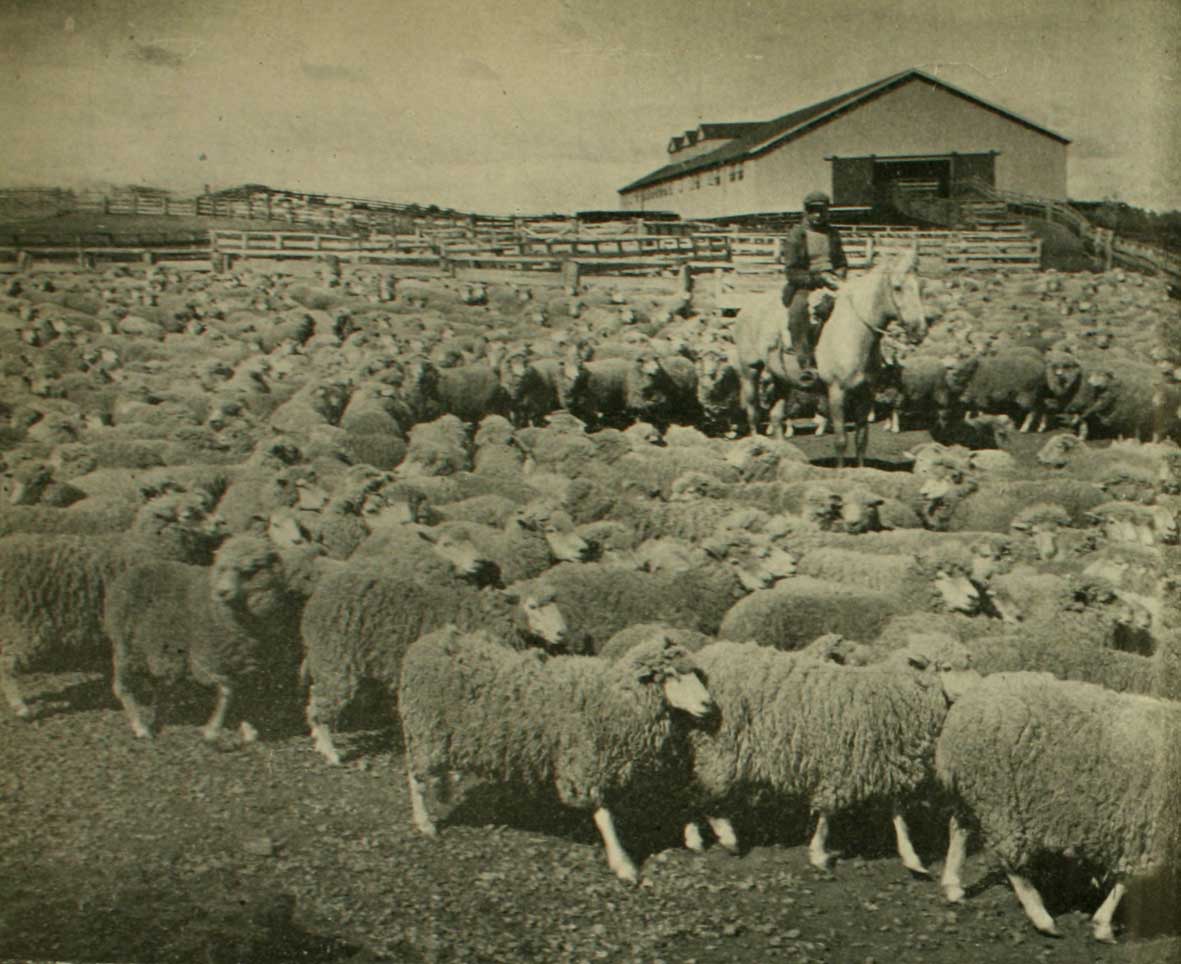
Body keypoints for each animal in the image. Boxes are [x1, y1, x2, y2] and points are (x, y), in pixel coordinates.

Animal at [102, 531, 304, 741]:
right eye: (222, 568)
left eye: (248, 571)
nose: (222, 592)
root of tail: (127, 576)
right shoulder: (206, 660)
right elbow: (227, 691)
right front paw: (212, 729)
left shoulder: (243, 665)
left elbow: (243, 695)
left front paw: (249, 729)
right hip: (125, 648)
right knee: (123, 688)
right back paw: (140, 726)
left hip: (152, 648)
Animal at [396, 623, 713, 878]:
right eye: (671, 675)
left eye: (697, 674)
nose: (708, 705)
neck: (613, 697)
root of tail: (430, 640)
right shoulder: (585, 761)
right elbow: (604, 816)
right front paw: (623, 863)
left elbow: (669, 795)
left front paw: (692, 834)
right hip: (424, 731)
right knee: (415, 777)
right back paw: (425, 822)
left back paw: (445, 789)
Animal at [684, 637, 968, 878]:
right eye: (947, 667)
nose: (970, 696)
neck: (889, 693)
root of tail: (707, 655)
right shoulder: (841, 764)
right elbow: (827, 813)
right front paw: (818, 854)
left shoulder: (884, 763)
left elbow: (898, 815)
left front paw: (912, 858)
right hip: (719, 747)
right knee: (703, 791)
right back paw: (723, 837)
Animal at [930, 671, 1181, 940]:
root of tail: (968, 700)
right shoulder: (1149, 828)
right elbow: (1128, 880)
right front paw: (1102, 925)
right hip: (1000, 799)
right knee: (1012, 864)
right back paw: (1042, 918)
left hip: (975, 788)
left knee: (958, 829)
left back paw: (953, 886)